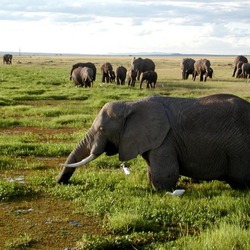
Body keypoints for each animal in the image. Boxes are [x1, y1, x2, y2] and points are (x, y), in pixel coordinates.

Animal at [56, 94, 250, 191]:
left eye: (102, 130)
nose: (60, 183)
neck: (131, 104)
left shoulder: (166, 138)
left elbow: (165, 173)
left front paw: (162, 192)